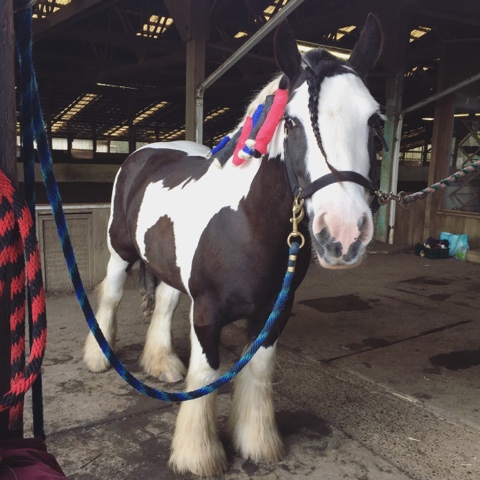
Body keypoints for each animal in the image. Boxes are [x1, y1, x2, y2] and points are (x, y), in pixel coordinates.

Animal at [83, 14, 384, 477]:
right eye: (291, 122)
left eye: (374, 121)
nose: (344, 233)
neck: (244, 225)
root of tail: (147, 152)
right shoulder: (207, 314)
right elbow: (207, 378)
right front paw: (198, 455)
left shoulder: (272, 314)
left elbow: (256, 371)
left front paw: (257, 444)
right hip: (121, 252)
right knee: (112, 295)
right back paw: (99, 360)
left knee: (165, 303)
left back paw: (162, 363)